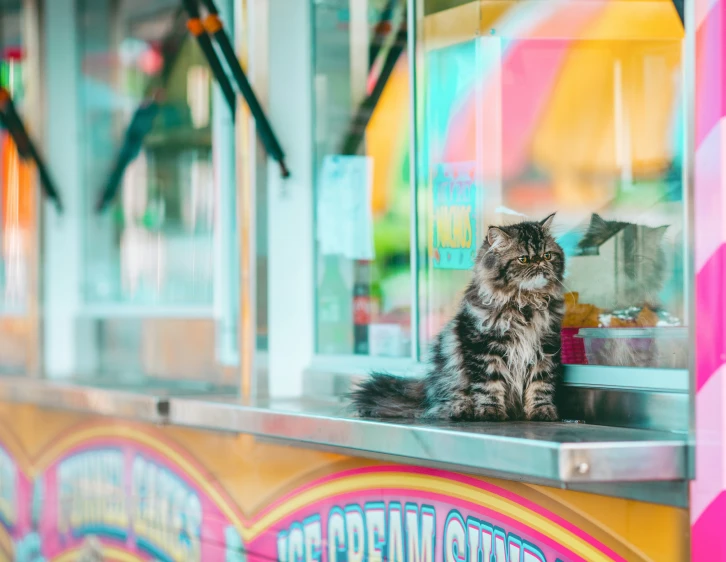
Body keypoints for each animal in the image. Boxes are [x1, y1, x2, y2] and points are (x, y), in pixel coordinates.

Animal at [352, 214, 568, 420]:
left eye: (547, 255)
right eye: (523, 259)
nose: (540, 262)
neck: (525, 305)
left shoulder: (545, 348)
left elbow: (541, 386)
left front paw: (542, 411)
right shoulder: (482, 347)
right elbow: (489, 385)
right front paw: (490, 412)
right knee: (447, 401)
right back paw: (463, 410)